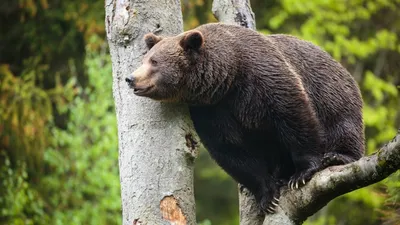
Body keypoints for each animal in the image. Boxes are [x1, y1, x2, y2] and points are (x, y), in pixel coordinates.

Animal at [125, 23, 366, 214]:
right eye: (145, 59)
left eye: (154, 61)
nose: (130, 78)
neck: (227, 75)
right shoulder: (212, 110)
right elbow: (231, 150)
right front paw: (267, 195)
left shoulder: (262, 77)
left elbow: (293, 115)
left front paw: (302, 173)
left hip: (332, 92)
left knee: (342, 123)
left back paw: (336, 156)